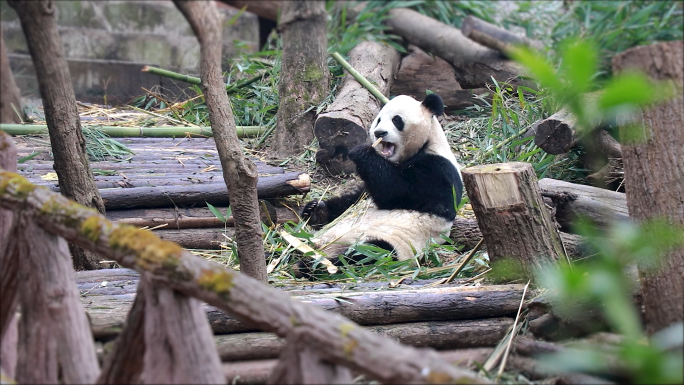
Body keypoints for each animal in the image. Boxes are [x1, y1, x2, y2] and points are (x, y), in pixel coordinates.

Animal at [296, 94, 462, 278]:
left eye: (397, 120)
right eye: (379, 120)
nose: (379, 133)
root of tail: (324, 246)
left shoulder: (439, 170)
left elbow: (397, 192)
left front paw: (362, 152)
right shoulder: (367, 190)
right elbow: (353, 200)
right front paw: (315, 210)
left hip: (393, 246)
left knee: (367, 255)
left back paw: (312, 266)